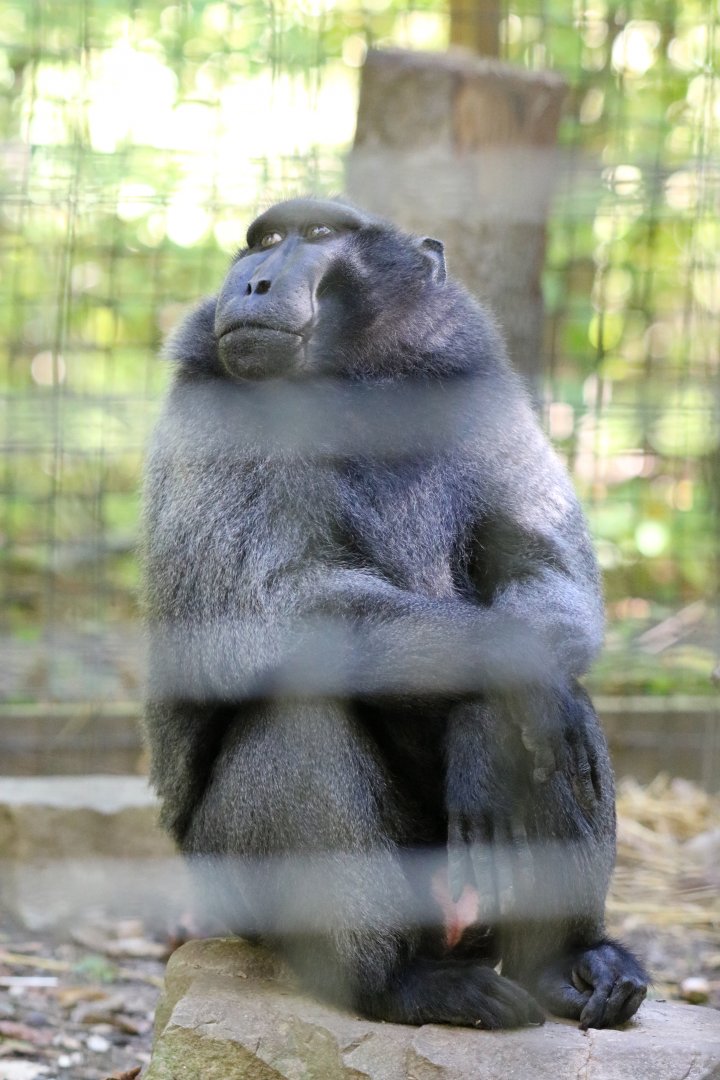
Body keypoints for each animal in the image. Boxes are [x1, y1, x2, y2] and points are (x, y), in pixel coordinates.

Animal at [142, 197, 648, 1030]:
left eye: (317, 237)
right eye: (263, 242)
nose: (252, 282)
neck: (361, 390)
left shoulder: (477, 397)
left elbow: (551, 573)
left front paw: (486, 729)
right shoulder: (210, 414)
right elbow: (280, 608)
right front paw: (493, 702)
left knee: (566, 713)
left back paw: (566, 964)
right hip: (231, 885)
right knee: (301, 713)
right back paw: (396, 983)